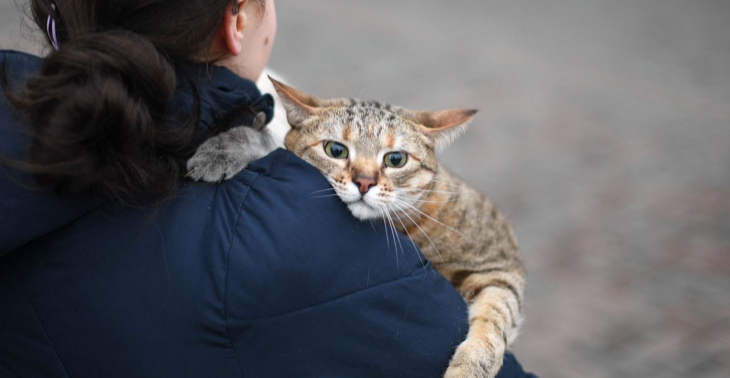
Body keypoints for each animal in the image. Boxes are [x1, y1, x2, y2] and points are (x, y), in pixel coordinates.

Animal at [188, 78, 524, 376]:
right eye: (335, 150)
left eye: (396, 159)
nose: (364, 182)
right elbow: (266, 142)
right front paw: (223, 149)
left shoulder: (500, 265)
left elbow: (495, 319)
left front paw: (469, 368)